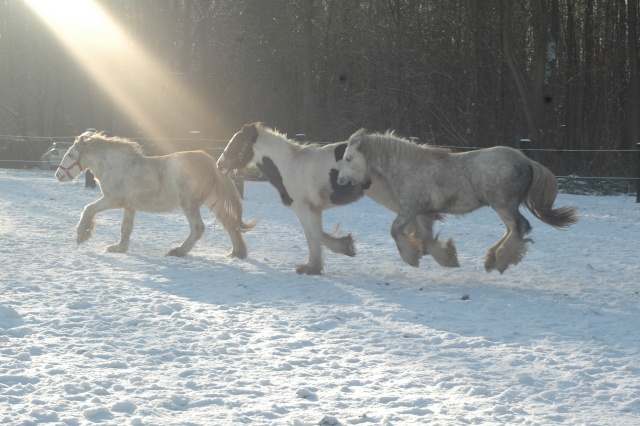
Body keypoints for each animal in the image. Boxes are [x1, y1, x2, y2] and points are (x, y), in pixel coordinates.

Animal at [55, 131, 255, 256]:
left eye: (71, 154)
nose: (58, 175)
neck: (117, 166)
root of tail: (212, 163)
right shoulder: (129, 206)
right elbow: (126, 228)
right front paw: (119, 248)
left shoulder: (112, 200)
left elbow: (89, 209)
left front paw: (82, 235)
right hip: (211, 200)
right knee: (229, 221)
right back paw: (238, 252)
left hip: (190, 204)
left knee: (198, 227)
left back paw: (178, 251)